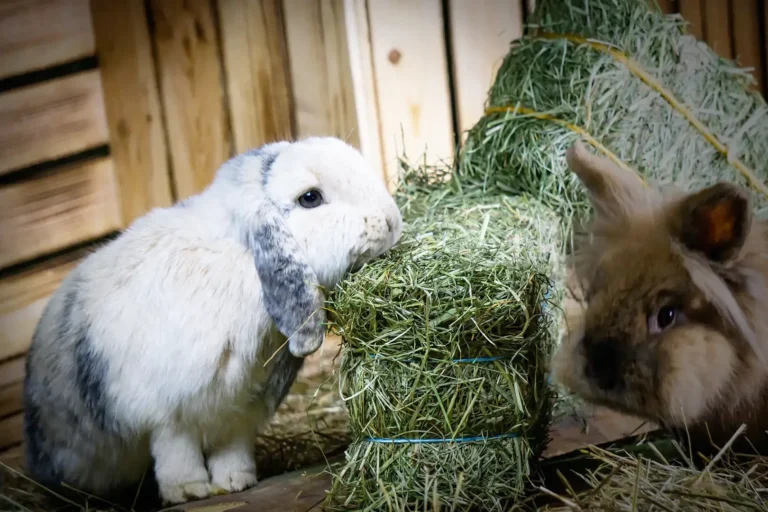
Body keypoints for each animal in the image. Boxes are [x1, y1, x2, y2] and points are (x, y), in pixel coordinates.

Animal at [22, 136, 402, 504]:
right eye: (310, 198)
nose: (390, 221)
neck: (240, 262)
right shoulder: (165, 414)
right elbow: (177, 453)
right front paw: (188, 491)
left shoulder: (240, 408)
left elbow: (232, 450)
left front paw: (236, 483)